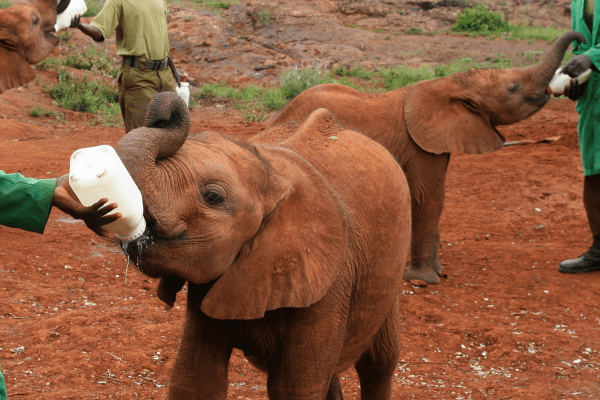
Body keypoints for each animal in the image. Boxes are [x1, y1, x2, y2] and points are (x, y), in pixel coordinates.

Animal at [113, 92, 412, 398]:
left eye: (212, 197)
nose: (165, 114)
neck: (271, 171)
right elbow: (196, 379)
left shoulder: (330, 284)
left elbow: (293, 388)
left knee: (379, 362)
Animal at [268, 29, 584, 284]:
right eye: (513, 88)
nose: (581, 41)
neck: (452, 84)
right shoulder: (418, 144)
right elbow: (427, 198)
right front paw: (425, 281)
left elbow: (437, 199)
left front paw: (438, 271)